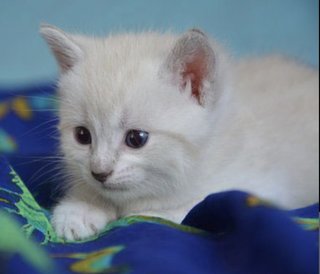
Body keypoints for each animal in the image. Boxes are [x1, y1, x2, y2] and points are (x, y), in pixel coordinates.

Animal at [40, 25, 318, 240]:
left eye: (136, 139)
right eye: (82, 136)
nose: (99, 172)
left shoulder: (262, 189)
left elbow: (186, 207)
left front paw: (140, 213)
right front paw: (78, 210)